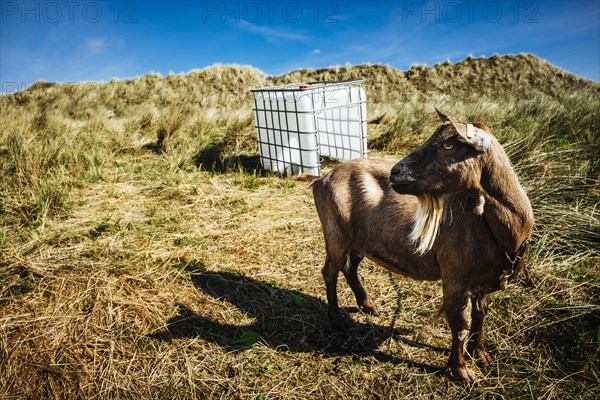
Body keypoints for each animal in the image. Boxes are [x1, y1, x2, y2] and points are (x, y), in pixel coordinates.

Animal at [312, 109, 532, 384]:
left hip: (360, 241)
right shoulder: (455, 279)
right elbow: (460, 325)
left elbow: (481, 315)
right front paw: (461, 372)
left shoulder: (484, 281)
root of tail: (321, 179)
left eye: (448, 145)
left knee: (349, 268)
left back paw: (368, 305)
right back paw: (337, 320)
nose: (395, 173)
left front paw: (480, 355)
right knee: (330, 271)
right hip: (336, 235)